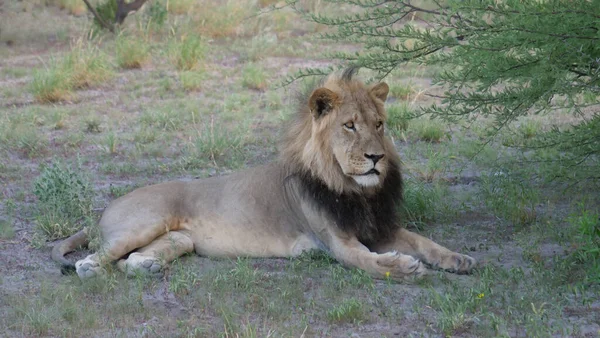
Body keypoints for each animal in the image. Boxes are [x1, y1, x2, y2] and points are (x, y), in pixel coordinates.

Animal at [52, 68, 474, 280]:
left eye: (380, 124)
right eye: (350, 126)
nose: (376, 157)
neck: (356, 190)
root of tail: (105, 208)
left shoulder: (381, 228)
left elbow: (424, 241)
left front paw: (458, 259)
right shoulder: (336, 242)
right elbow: (369, 262)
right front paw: (403, 267)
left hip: (180, 239)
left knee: (133, 260)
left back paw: (150, 266)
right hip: (144, 223)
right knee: (93, 260)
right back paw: (97, 268)